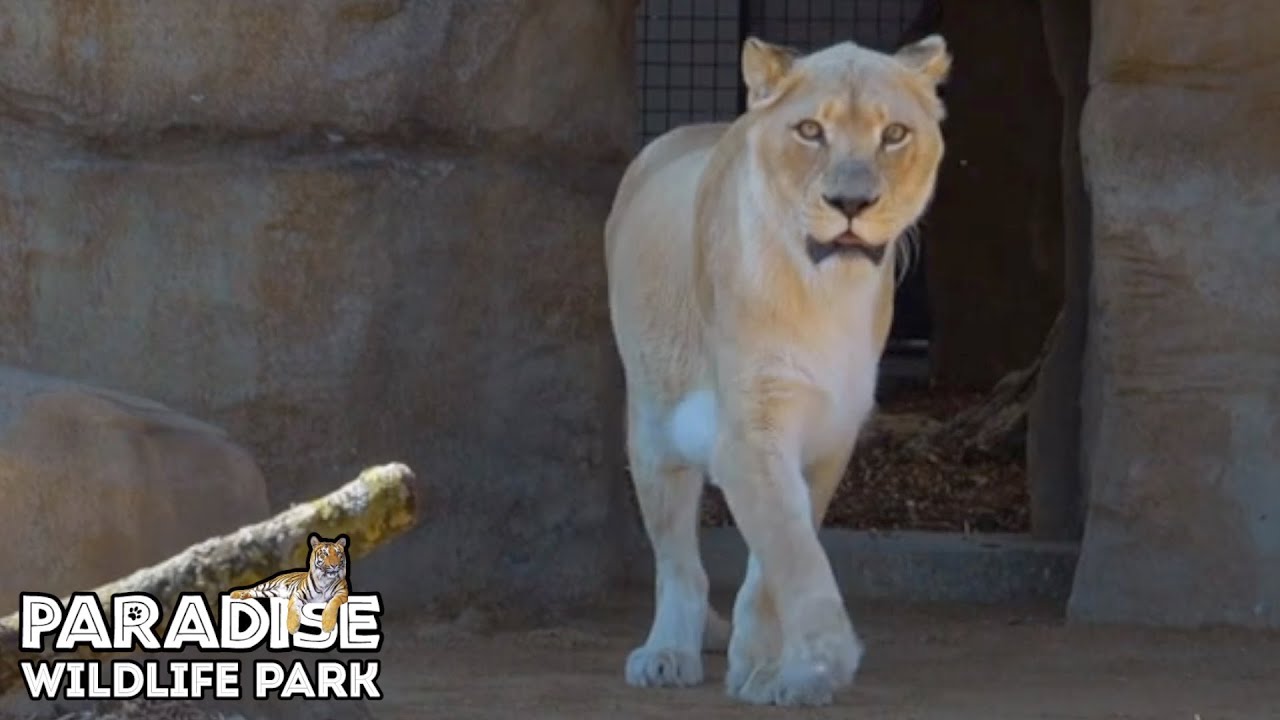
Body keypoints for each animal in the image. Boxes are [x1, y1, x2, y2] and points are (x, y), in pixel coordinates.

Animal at [604, 35, 951, 706]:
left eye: (894, 134)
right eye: (810, 130)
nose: (851, 203)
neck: (826, 292)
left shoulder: (829, 437)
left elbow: (777, 558)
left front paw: (763, 666)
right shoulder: (750, 429)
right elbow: (795, 555)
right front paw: (822, 661)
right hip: (653, 436)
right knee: (678, 563)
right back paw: (667, 653)